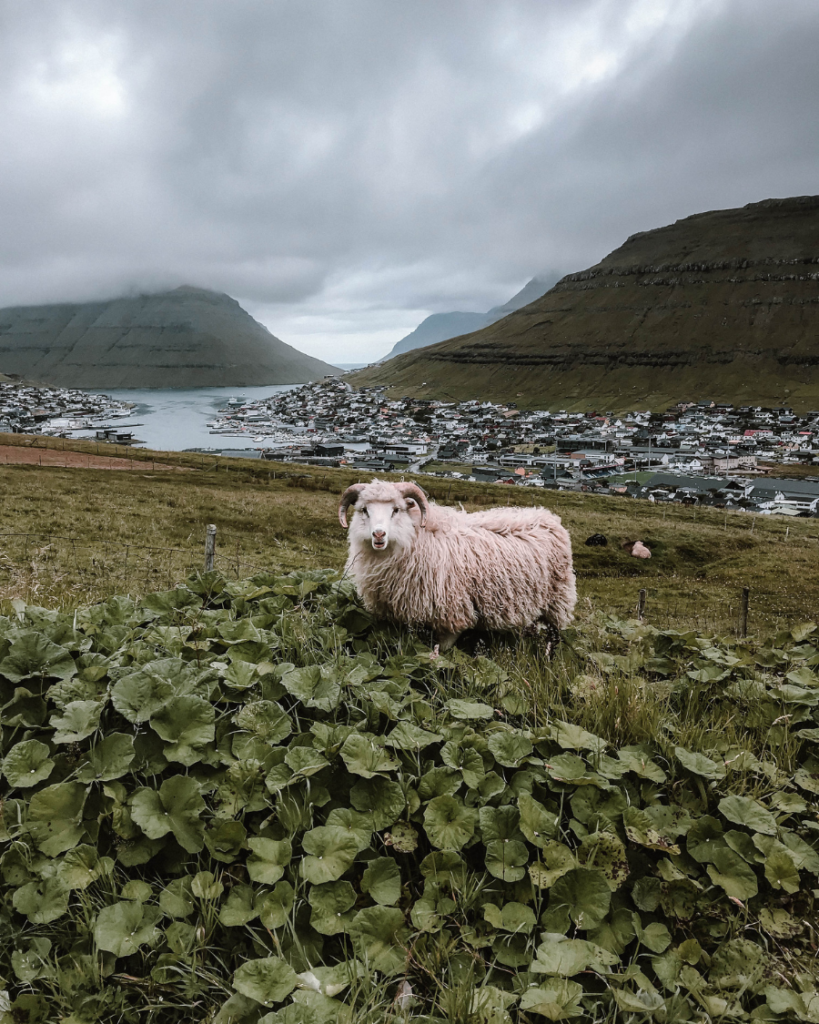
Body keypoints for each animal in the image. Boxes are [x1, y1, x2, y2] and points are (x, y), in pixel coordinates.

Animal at [337, 477, 577, 647]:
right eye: (364, 510)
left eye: (396, 510)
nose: (378, 535)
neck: (418, 538)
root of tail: (549, 517)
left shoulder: (454, 613)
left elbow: (440, 652)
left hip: (558, 600)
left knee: (554, 636)